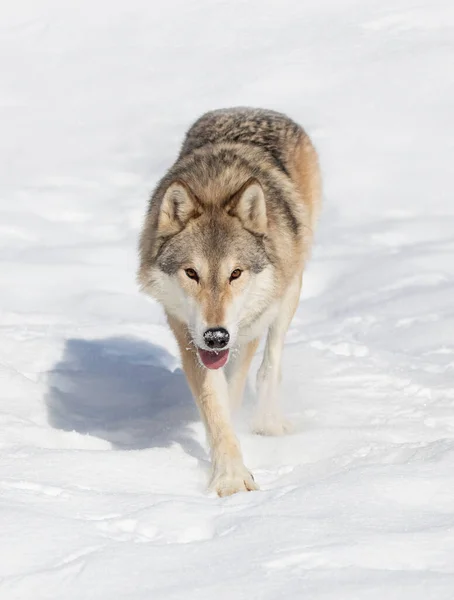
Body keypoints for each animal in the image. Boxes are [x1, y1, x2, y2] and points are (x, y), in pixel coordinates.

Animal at [137, 108, 320, 496]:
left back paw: (267, 422)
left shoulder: (247, 330)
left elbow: (232, 393)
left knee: (271, 362)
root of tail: (251, 108)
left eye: (235, 273)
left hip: (289, 289)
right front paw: (230, 475)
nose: (216, 336)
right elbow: (214, 405)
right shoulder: (187, 336)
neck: (216, 188)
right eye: (192, 273)